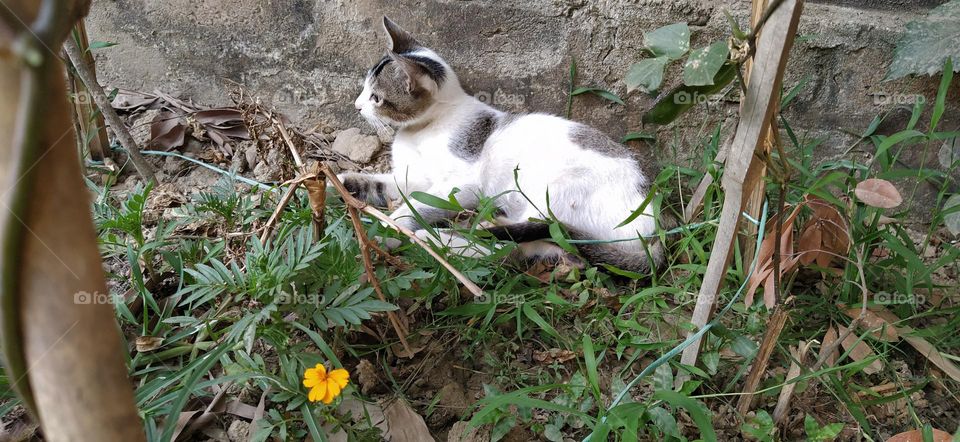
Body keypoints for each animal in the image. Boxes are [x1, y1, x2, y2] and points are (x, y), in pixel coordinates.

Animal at [342, 16, 672, 272]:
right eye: (364, 89)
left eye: (376, 98)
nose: (357, 106)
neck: (421, 128)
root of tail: (653, 227)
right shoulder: (414, 175)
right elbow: (382, 184)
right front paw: (343, 184)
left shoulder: (464, 182)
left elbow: (416, 205)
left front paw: (385, 229)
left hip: (553, 191)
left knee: (507, 248)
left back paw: (437, 239)